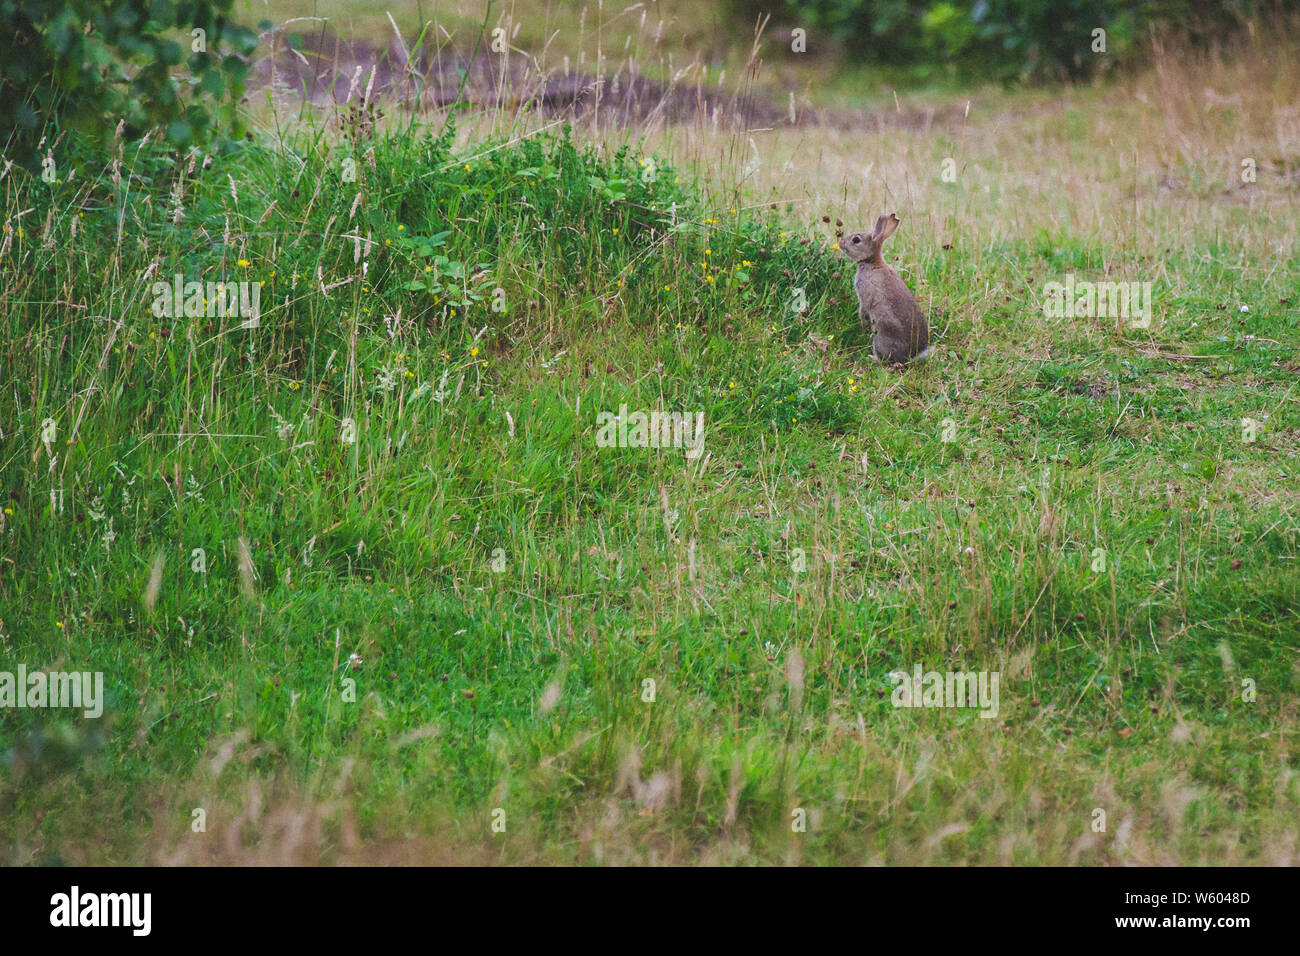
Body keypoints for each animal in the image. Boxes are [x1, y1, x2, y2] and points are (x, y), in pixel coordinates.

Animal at [837, 214, 930, 364]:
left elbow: (863, 310)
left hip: (881, 337)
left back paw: (872, 358)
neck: (871, 262)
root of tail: (912, 355)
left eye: (856, 240)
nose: (840, 242)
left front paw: (863, 325)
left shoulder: (865, 296)